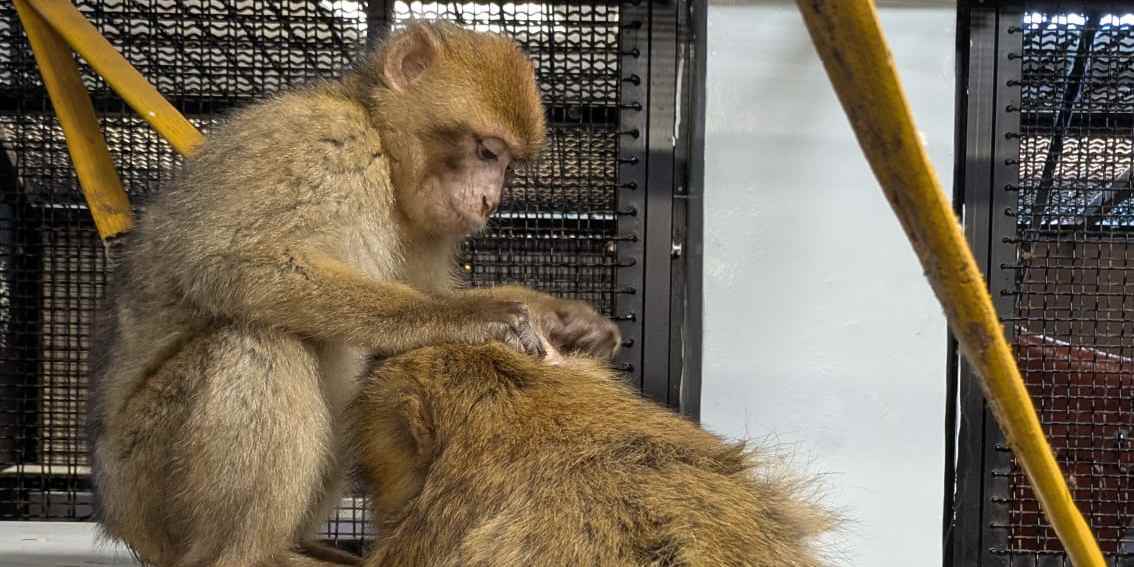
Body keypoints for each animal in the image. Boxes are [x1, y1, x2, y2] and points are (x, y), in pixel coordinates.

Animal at [86, 21, 621, 567]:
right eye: (487, 152)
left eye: (509, 166)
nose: (490, 200)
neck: (380, 141)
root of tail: (115, 511)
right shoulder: (327, 142)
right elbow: (229, 262)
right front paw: (464, 315)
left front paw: (561, 318)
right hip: (144, 481)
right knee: (257, 342)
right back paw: (249, 553)